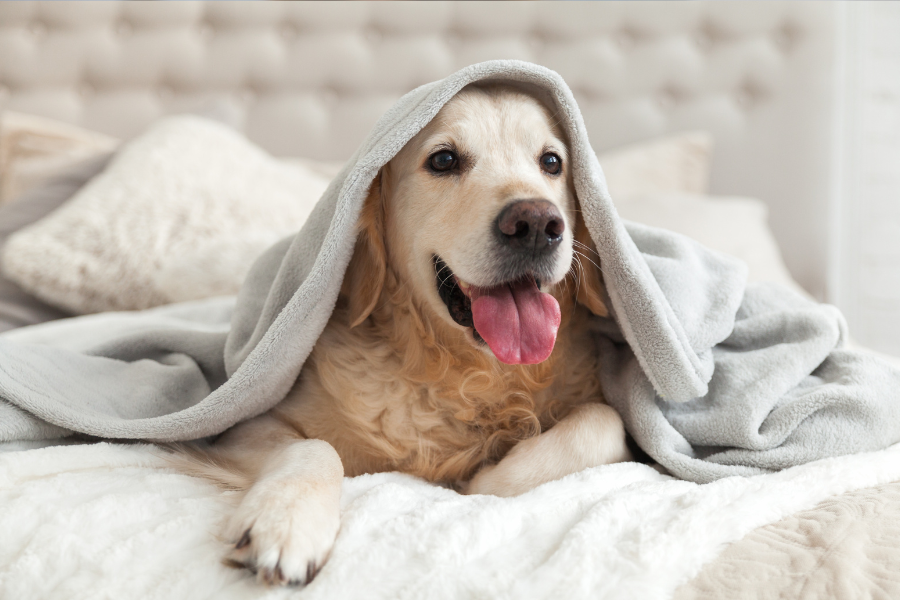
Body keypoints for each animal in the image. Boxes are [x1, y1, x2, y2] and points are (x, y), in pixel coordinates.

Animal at [184, 84, 632, 584]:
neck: (464, 373)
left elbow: (604, 421)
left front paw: (489, 477)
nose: (536, 223)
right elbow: (314, 446)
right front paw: (285, 520)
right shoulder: (238, 427)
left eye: (552, 162)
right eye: (443, 160)